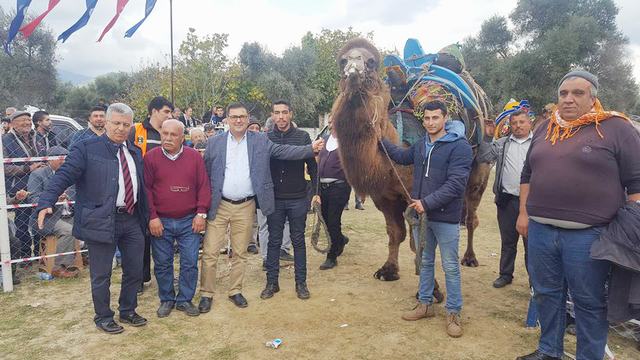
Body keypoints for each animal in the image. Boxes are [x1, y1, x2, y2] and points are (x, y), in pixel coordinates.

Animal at [330, 38, 490, 282]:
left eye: (371, 62)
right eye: (343, 61)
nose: (353, 71)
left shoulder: (416, 194)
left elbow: (418, 241)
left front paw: (431, 285)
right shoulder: (383, 196)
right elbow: (395, 233)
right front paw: (388, 270)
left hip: (480, 167)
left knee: (472, 215)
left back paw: (469, 258)